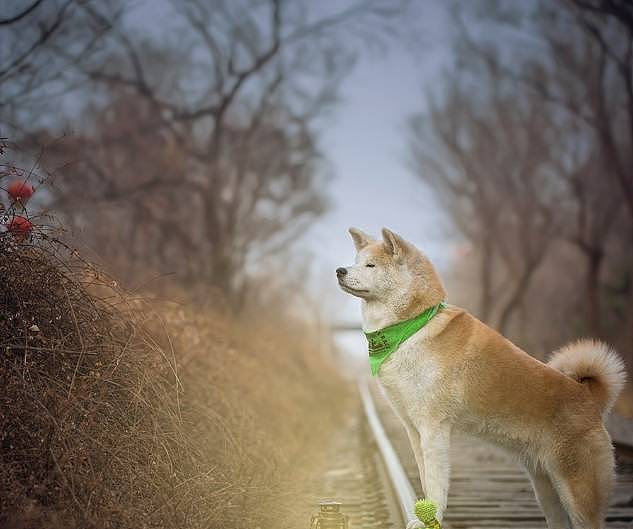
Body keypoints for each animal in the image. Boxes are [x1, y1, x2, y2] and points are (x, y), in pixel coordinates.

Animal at [338, 227, 624, 528]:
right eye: (356, 261)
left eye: (371, 265)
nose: (339, 270)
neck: (412, 327)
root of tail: (588, 396)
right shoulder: (414, 429)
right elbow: (426, 479)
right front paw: (422, 515)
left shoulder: (434, 428)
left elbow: (436, 483)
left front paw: (432, 517)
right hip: (547, 490)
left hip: (578, 493)